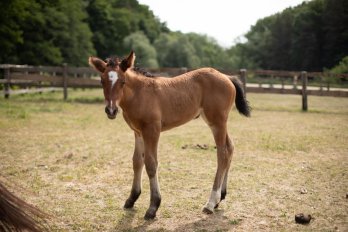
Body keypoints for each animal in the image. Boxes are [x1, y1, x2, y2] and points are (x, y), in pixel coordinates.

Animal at [87, 50, 250, 219]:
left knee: (222, 153)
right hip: (217, 122)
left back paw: (210, 203)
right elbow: (137, 161)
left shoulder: (152, 130)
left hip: (217, 122)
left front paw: (153, 206)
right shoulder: (138, 132)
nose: (111, 110)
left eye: (123, 82)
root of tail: (227, 77)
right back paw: (220, 197)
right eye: (102, 81)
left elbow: (151, 164)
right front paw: (132, 198)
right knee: (230, 148)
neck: (140, 94)